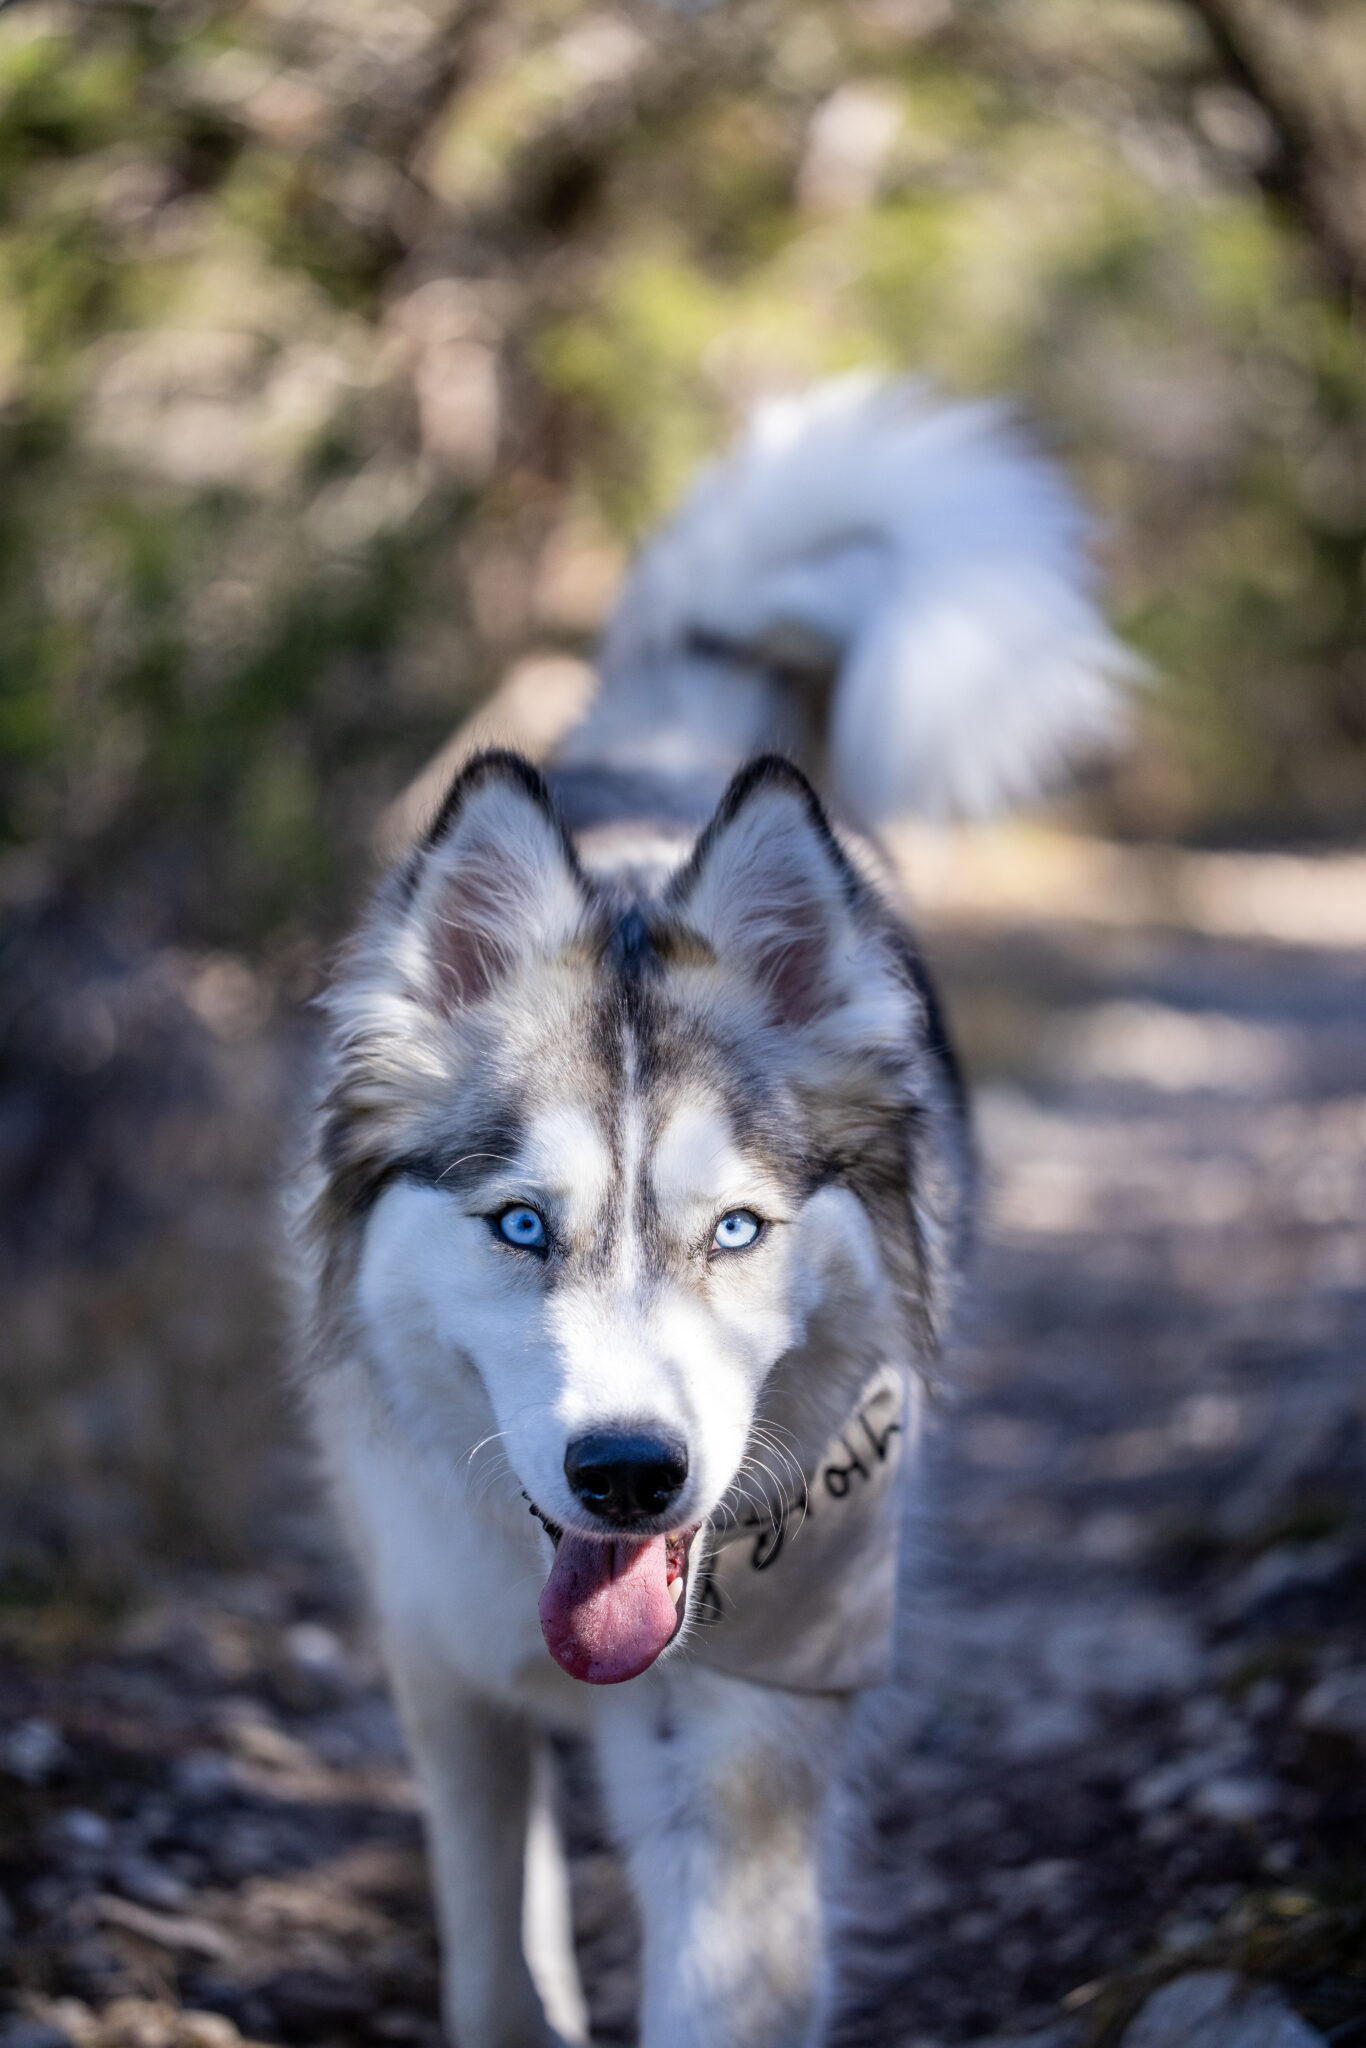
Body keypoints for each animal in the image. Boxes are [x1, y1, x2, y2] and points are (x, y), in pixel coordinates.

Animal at [290, 372, 1130, 2048]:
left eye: (734, 1230)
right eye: (522, 1227)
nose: (628, 1475)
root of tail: (665, 751)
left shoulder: (742, 1746)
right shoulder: (441, 1673)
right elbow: (492, 1955)